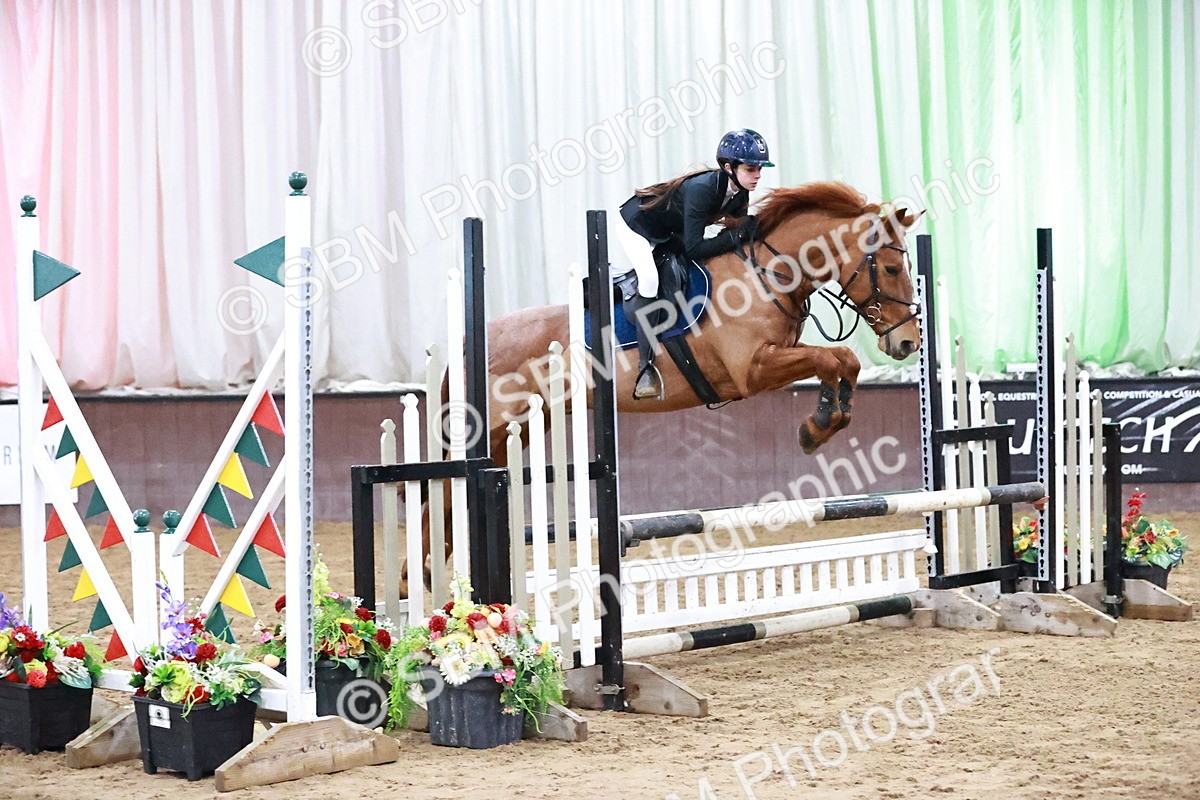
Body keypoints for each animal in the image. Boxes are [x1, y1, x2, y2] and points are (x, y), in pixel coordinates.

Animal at [402, 181, 923, 595]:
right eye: (892, 269)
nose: (907, 343)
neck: (766, 274)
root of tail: (471, 341)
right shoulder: (752, 370)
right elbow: (829, 357)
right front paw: (818, 425)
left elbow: (844, 360)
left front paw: (827, 419)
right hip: (493, 427)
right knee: (444, 489)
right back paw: (418, 577)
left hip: (526, 427)